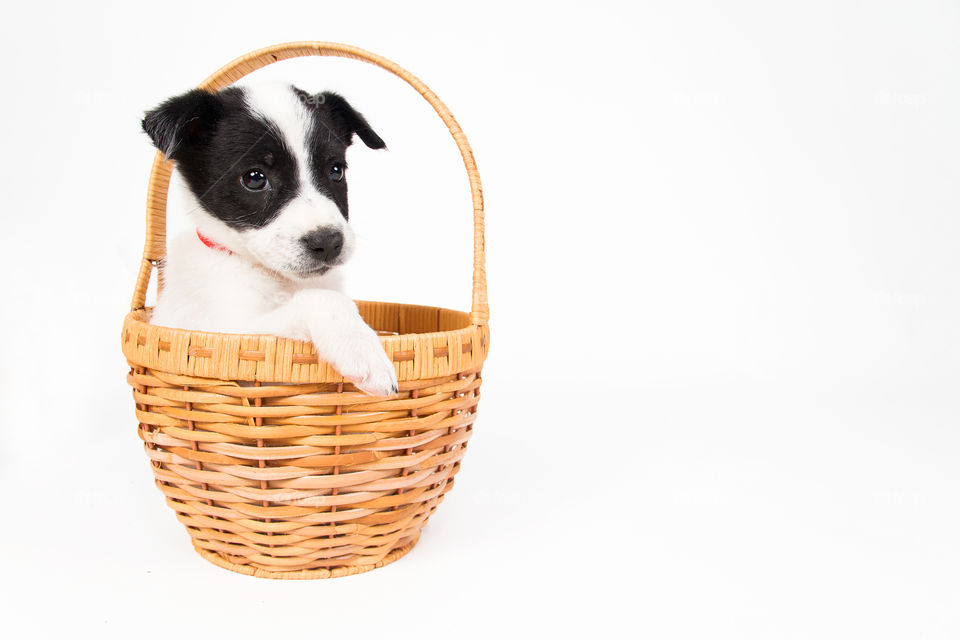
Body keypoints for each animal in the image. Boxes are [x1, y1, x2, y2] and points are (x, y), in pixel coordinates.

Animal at [142, 83, 398, 398]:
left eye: (336, 170)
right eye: (254, 178)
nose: (328, 242)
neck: (280, 280)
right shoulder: (228, 335)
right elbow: (324, 299)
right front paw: (363, 350)